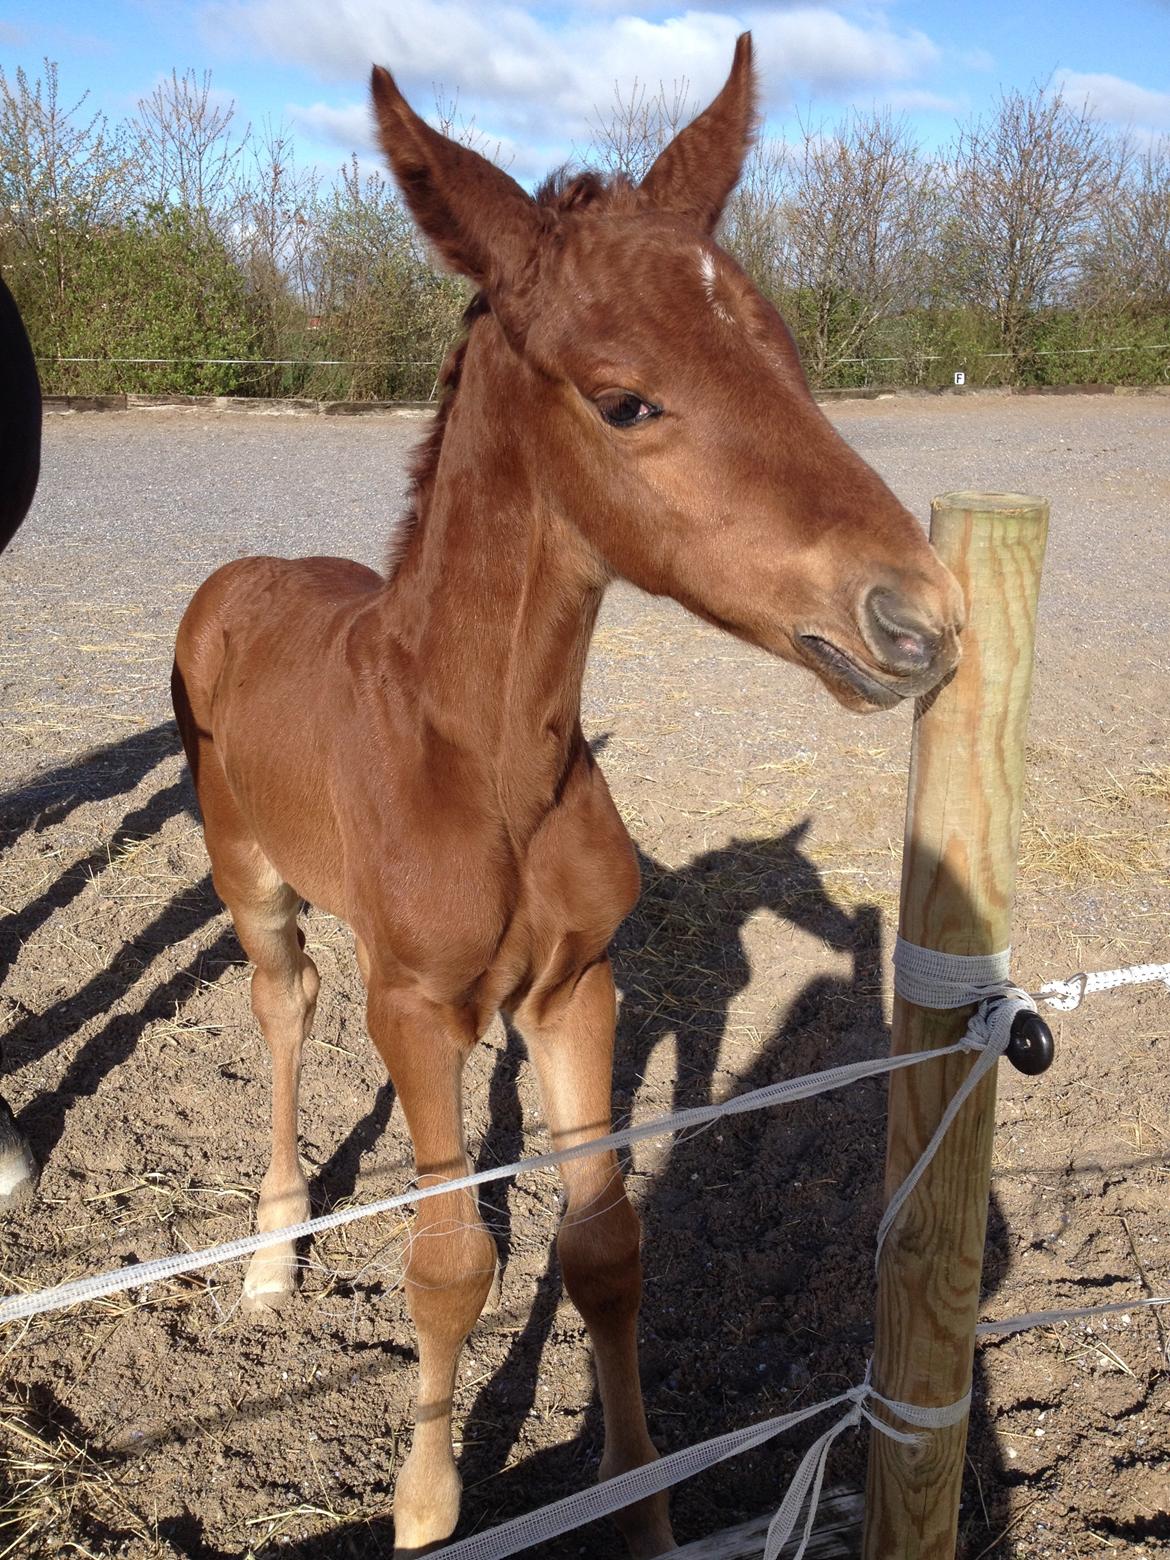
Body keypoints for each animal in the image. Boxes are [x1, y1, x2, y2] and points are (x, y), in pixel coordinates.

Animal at [171, 36, 960, 1560]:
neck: (489, 763)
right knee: (284, 1004)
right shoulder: (414, 1005)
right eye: (625, 398)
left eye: (786, 355)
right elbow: (446, 1260)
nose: (919, 618)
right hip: (251, 873)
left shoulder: (575, 988)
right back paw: (275, 1247)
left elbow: (601, 1241)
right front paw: (425, 1508)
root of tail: (237, 577)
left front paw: (638, 1505)